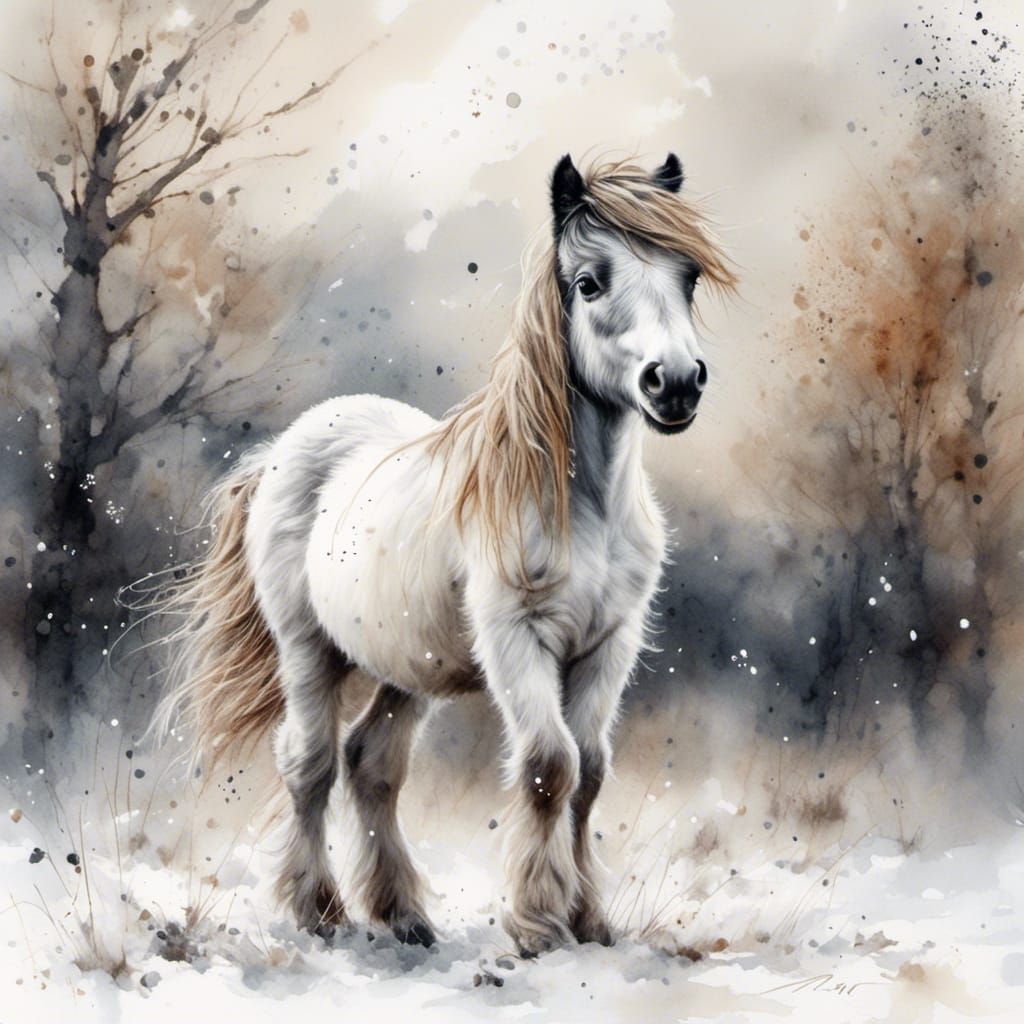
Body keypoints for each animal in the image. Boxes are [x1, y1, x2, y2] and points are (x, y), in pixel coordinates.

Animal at [153, 153, 735, 957]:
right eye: (590, 282)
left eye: (688, 277)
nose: (675, 383)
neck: (581, 505)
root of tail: (281, 452)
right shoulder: (517, 639)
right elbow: (550, 765)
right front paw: (538, 923)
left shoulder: (609, 645)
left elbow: (590, 772)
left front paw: (590, 920)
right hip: (308, 650)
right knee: (309, 764)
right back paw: (319, 911)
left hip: (406, 667)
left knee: (372, 765)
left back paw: (403, 915)